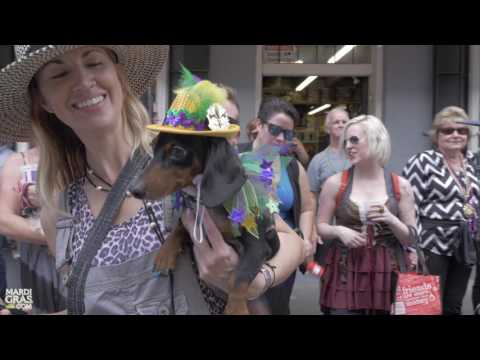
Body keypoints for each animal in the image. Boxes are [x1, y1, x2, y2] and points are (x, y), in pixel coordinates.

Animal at [130, 134, 282, 314]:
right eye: (152, 146)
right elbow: (179, 228)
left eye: (177, 151)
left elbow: (238, 277)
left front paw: (236, 309)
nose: (133, 190)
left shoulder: (258, 246)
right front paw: (165, 254)